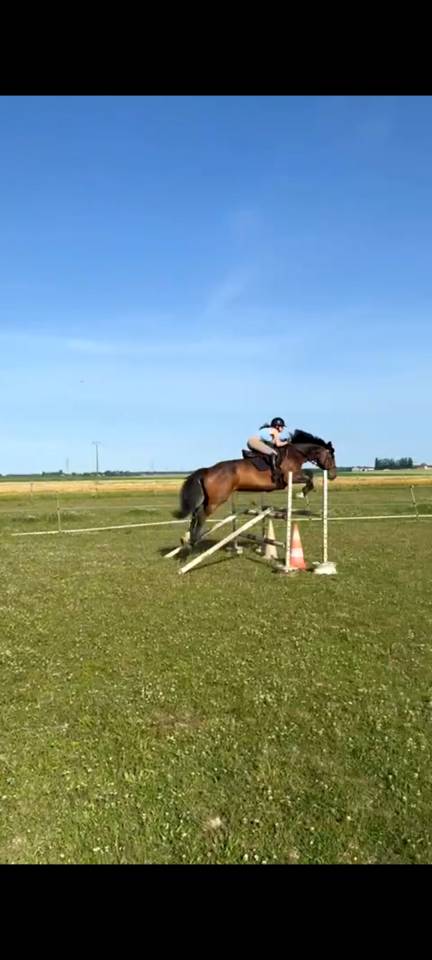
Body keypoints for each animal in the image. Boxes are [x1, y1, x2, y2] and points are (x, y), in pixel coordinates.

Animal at [174, 429, 337, 547]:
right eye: (331, 456)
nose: (333, 476)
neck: (296, 453)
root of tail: (208, 470)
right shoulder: (289, 478)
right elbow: (309, 478)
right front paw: (301, 494)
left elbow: (309, 474)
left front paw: (303, 493)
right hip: (216, 500)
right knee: (201, 515)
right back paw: (195, 539)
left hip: (208, 498)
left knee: (195, 513)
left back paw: (186, 538)